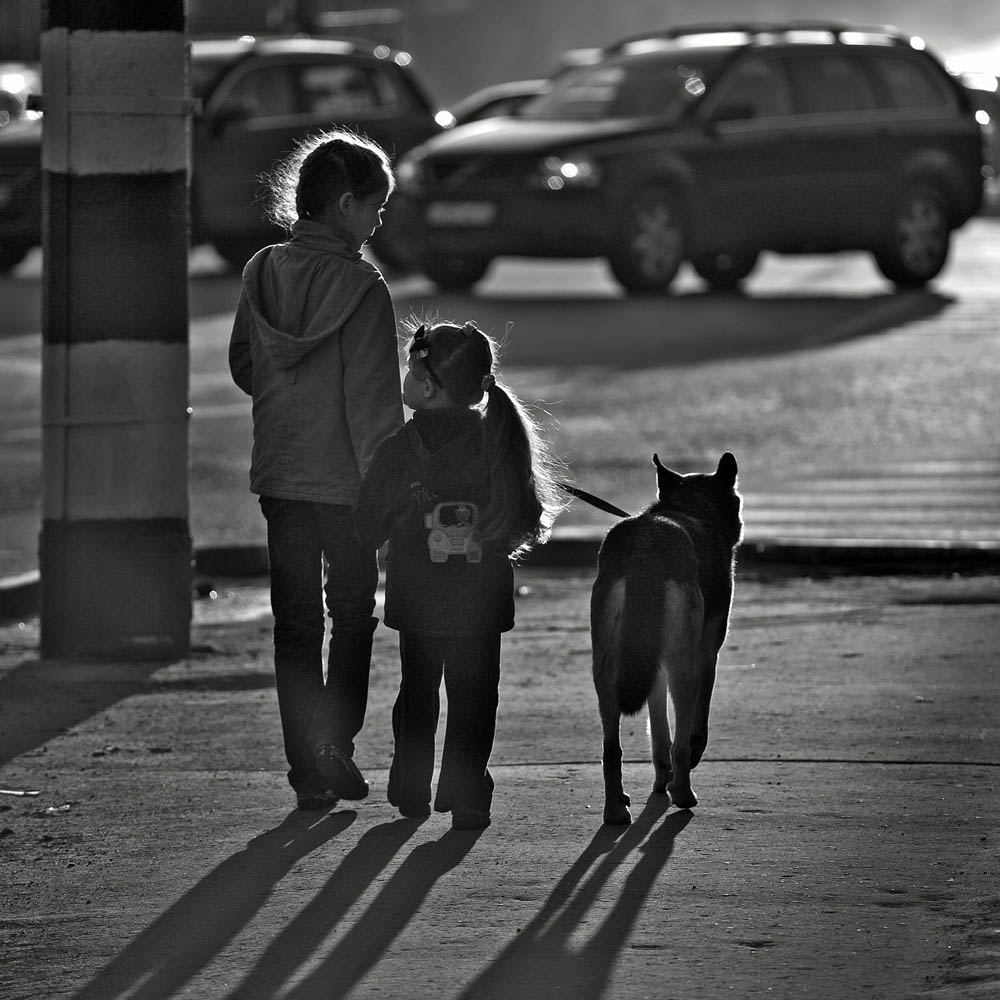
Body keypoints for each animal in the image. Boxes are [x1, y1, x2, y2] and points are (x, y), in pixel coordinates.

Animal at [588, 452, 740, 820]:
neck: (692, 507)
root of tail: (646, 553)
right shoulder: (707, 655)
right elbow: (692, 731)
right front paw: (674, 778)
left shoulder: (651, 665)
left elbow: (658, 734)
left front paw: (661, 780)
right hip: (685, 667)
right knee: (682, 742)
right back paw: (683, 794)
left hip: (607, 670)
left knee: (611, 750)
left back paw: (615, 809)